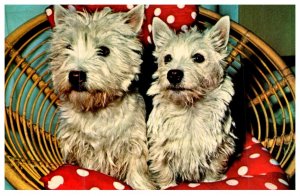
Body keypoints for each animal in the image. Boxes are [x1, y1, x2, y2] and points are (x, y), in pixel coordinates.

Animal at [48, 4, 156, 190]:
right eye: (68, 47)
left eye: (104, 51)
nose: (76, 75)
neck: (97, 109)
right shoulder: (83, 145)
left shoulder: (133, 142)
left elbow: (137, 170)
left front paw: (142, 186)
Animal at [147, 16, 237, 190]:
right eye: (167, 58)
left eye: (198, 58)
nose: (173, 74)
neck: (190, 108)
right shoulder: (160, 151)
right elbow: (165, 174)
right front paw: (168, 186)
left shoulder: (219, 149)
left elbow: (213, 172)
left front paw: (212, 183)